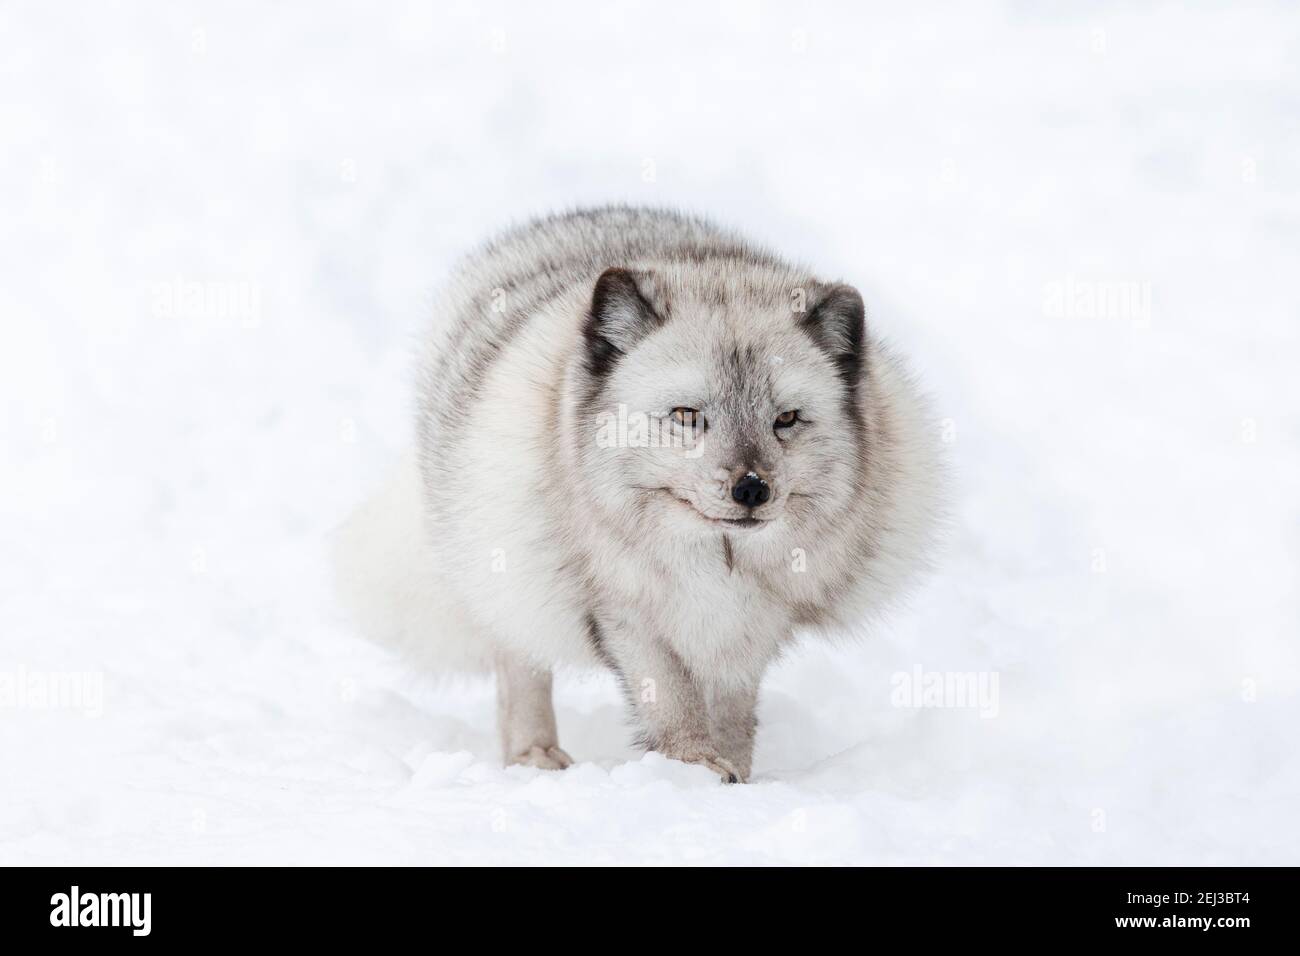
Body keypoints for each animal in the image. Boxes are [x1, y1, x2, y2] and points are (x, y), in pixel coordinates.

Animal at [335, 205, 941, 780]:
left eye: (787, 419)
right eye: (687, 415)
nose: (751, 488)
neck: (715, 565)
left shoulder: (752, 625)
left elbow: (733, 710)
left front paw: (737, 774)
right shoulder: (623, 609)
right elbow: (669, 697)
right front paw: (692, 768)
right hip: (500, 556)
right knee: (518, 657)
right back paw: (535, 755)